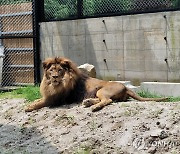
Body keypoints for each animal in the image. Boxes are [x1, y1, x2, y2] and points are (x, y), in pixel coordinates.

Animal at [24, 56, 167, 112]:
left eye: (60, 70)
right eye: (51, 70)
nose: (54, 77)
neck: (54, 85)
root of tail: (126, 87)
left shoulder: (55, 100)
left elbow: (40, 103)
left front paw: (29, 107)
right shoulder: (49, 95)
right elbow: (38, 100)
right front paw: (31, 103)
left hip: (101, 90)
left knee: (108, 101)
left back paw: (94, 107)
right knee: (107, 100)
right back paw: (88, 102)